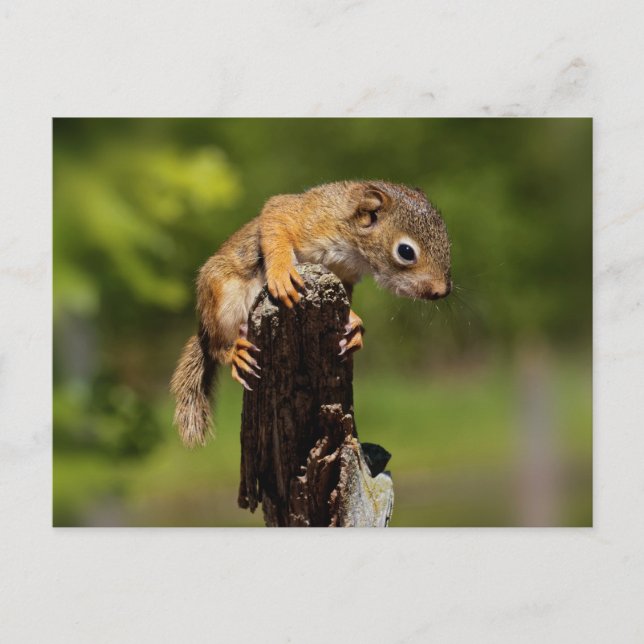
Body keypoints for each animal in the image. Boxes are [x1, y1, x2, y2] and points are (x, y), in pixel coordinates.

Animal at [171, 180, 452, 447]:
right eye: (406, 251)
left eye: (447, 242)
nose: (442, 291)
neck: (354, 246)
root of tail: (203, 327)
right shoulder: (307, 216)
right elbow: (276, 219)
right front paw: (282, 272)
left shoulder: (343, 274)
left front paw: (354, 325)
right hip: (222, 299)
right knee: (216, 346)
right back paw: (234, 351)